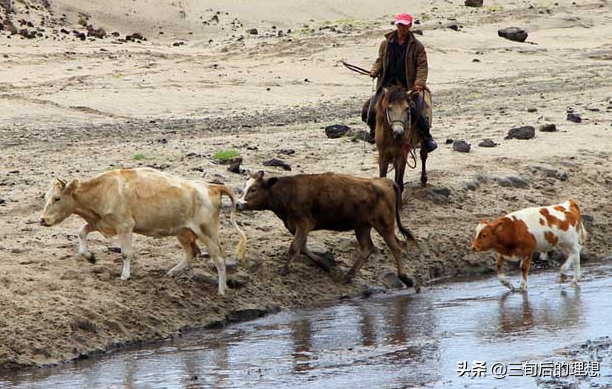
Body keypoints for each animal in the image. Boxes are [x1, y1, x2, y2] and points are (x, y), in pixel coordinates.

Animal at [38, 167, 246, 294]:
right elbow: (81, 232)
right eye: (46, 197)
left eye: (57, 198)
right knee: (191, 254)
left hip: (207, 231)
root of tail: (212, 186)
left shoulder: (125, 226)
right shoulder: (102, 223)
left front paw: (124, 276)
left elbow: (125, 253)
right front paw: (90, 256)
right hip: (183, 231)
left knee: (218, 258)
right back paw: (171, 273)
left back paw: (221, 290)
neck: (103, 190)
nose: (42, 220)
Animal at [235, 171, 420, 286]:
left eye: (254, 189)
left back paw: (405, 278)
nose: (237, 203)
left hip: (384, 224)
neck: (287, 192)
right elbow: (302, 247)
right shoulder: (298, 226)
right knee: (367, 248)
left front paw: (284, 270)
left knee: (395, 247)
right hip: (362, 226)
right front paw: (324, 264)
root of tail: (385, 181)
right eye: (244, 188)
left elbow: (294, 247)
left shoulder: (304, 223)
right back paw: (349, 275)